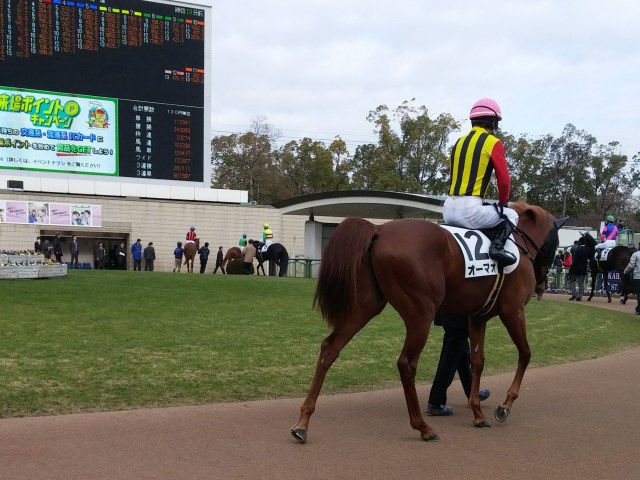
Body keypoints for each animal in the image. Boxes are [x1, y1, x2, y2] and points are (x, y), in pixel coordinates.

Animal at [290, 201, 564, 444]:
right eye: (557, 243)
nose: (542, 285)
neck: (517, 242)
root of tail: (379, 230)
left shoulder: (477, 317)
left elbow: (477, 361)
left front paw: (477, 412)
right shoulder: (513, 311)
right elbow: (525, 354)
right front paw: (505, 406)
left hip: (365, 307)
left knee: (330, 348)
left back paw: (303, 423)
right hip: (421, 313)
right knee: (406, 363)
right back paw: (423, 427)